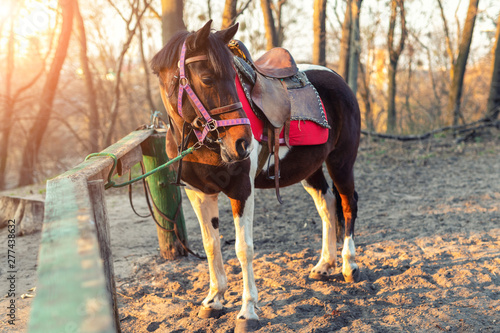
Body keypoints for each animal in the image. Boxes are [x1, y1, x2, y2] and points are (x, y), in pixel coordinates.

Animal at [150, 20, 362, 330]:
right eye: (207, 78)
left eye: (233, 78)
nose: (242, 143)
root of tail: (337, 78)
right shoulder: (198, 193)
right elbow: (211, 245)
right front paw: (214, 300)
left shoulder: (241, 190)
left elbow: (243, 248)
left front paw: (247, 311)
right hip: (310, 168)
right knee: (327, 205)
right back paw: (325, 265)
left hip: (341, 162)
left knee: (347, 204)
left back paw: (349, 265)